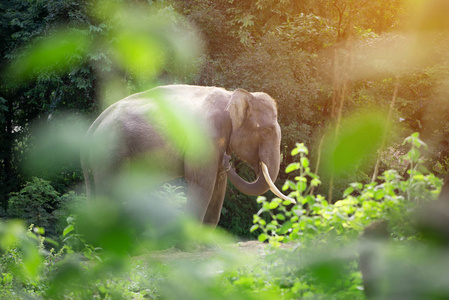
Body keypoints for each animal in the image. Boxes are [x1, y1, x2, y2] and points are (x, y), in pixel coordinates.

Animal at [81, 83, 294, 226]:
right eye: (267, 131)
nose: (227, 160)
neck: (230, 96)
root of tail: (94, 125)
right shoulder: (203, 137)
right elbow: (202, 183)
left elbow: (219, 185)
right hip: (110, 151)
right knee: (110, 191)